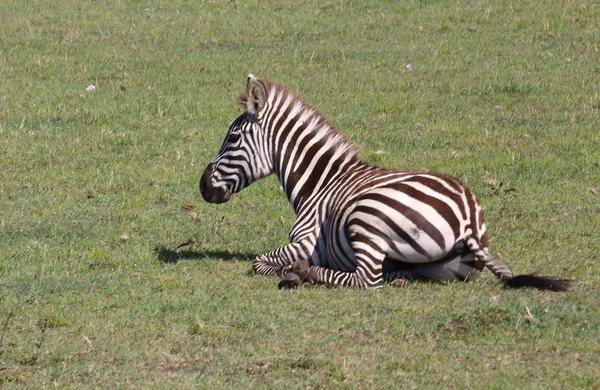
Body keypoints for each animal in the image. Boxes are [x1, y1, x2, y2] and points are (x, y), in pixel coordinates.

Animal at [199, 74, 568, 290]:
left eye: (232, 138)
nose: (203, 187)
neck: (320, 182)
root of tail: (468, 220)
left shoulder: (305, 242)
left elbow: (259, 262)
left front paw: (290, 269)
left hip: (366, 217)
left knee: (366, 279)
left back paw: (305, 274)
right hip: (447, 267)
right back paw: (398, 276)